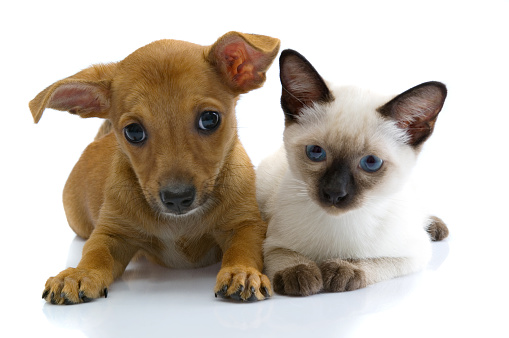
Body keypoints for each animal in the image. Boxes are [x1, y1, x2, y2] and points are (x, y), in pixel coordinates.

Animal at [29, 33, 280, 304]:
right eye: (133, 131)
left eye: (209, 119)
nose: (177, 198)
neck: (181, 225)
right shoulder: (111, 234)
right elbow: (96, 253)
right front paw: (80, 273)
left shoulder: (246, 224)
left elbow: (244, 249)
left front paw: (242, 271)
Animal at [258, 49, 448, 296]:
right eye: (316, 152)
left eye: (371, 162)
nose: (334, 193)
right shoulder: (272, 243)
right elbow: (287, 257)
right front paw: (300, 275)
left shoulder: (412, 255)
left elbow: (375, 262)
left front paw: (342, 270)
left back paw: (435, 226)